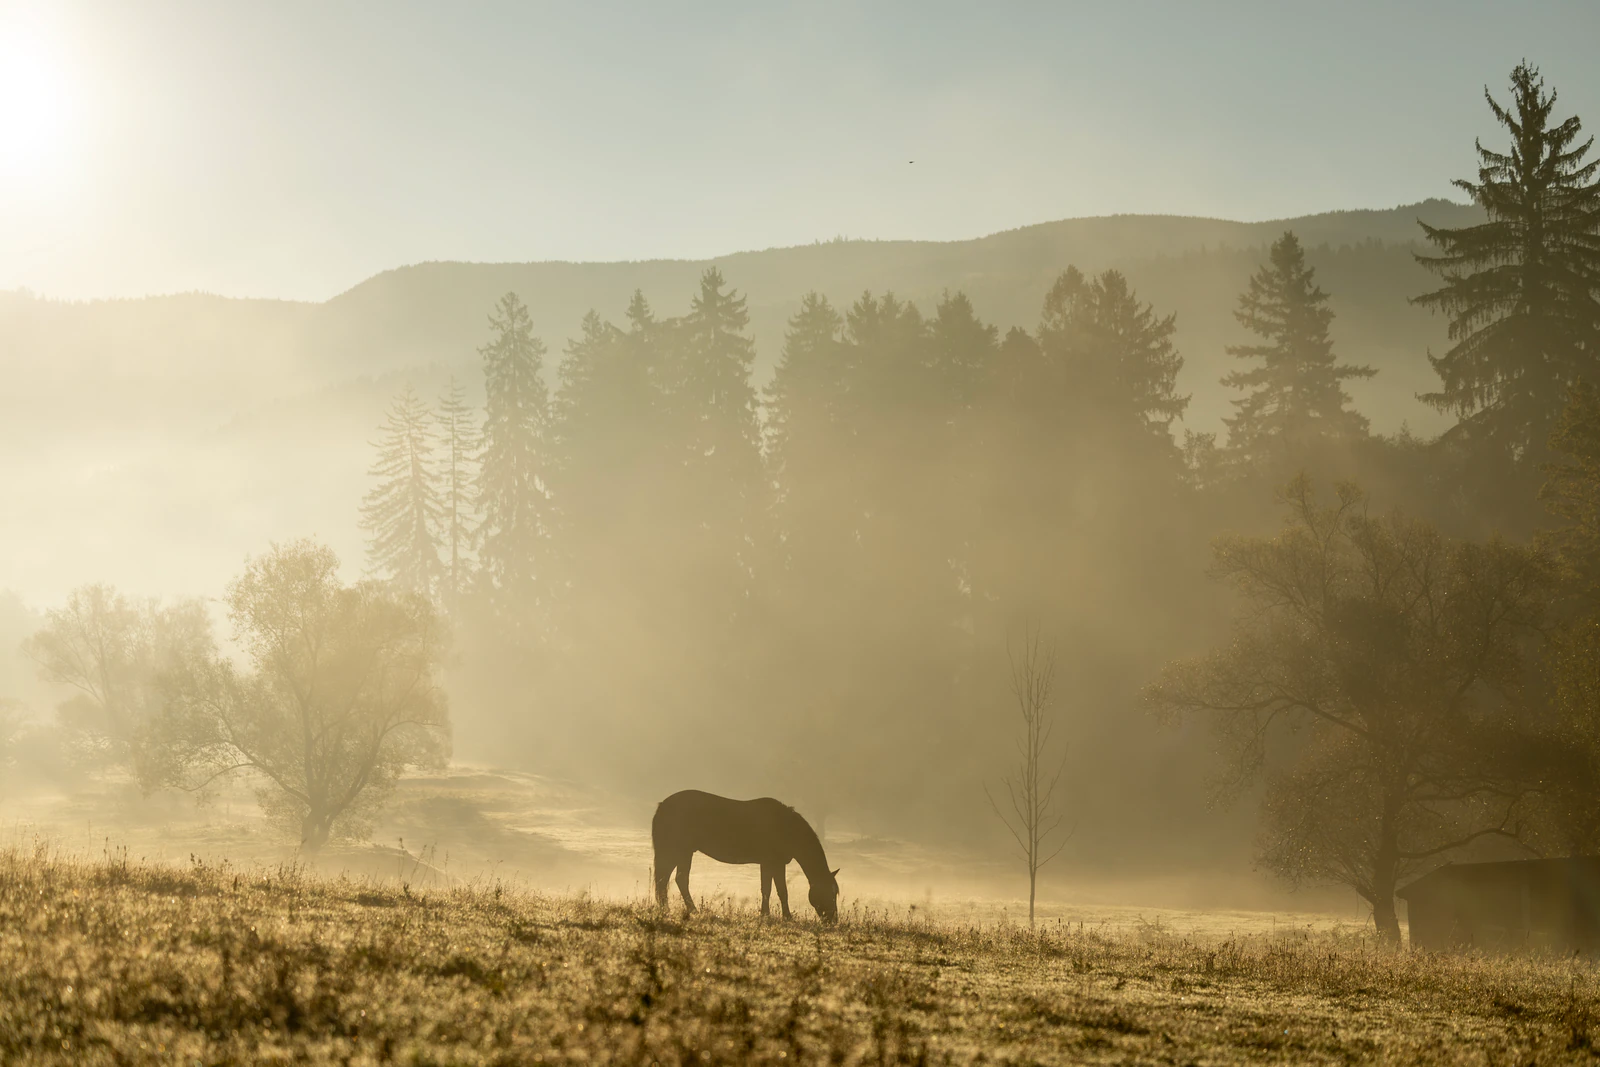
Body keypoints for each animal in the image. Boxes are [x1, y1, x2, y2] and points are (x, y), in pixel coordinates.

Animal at [652, 789, 840, 922]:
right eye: (829, 893)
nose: (833, 920)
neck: (786, 827)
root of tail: (662, 805)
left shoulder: (772, 864)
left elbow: (772, 889)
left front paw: (771, 915)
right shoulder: (772, 863)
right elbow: (776, 890)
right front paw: (780, 916)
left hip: (684, 852)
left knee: (677, 879)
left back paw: (682, 910)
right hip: (676, 851)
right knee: (667, 879)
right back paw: (677, 910)